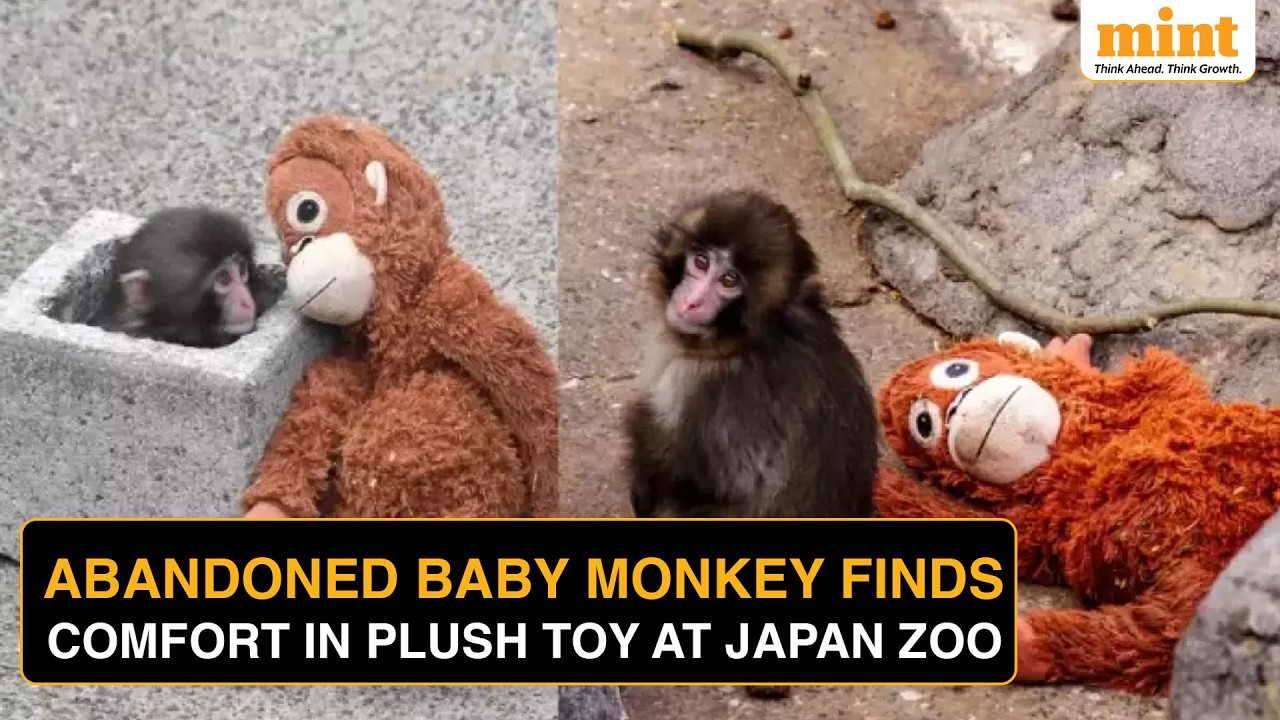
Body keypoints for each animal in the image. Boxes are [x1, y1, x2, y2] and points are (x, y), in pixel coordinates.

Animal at [623, 189, 881, 701]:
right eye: (700, 261)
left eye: (729, 282)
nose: (693, 300)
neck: (744, 339)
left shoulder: (708, 387)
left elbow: (712, 481)